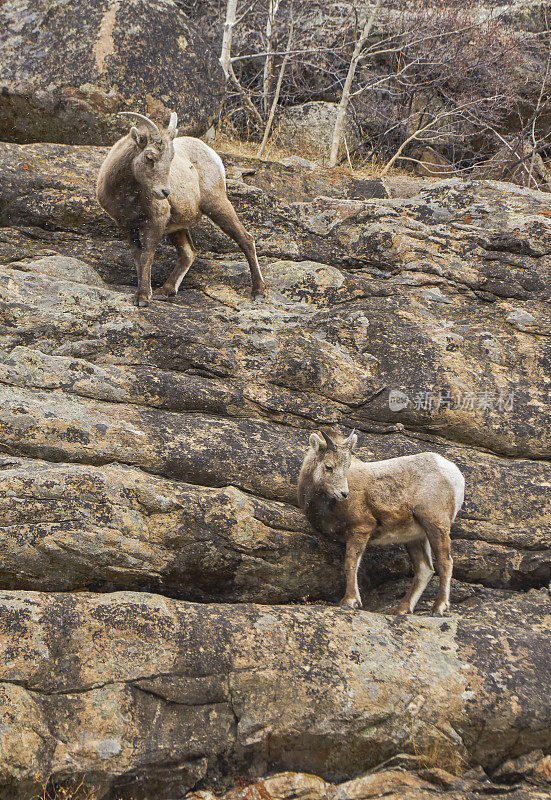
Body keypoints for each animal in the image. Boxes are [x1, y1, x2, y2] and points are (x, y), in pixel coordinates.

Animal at [95, 109, 268, 304]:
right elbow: (138, 256)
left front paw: (143, 296)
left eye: (171, 158)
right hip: (177, 226)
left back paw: (258, 291)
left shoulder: (155, 221)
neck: (126, 196)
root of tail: (213, 155)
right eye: (149, 156)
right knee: (188, 253)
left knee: (246, 239)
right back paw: (166, 290)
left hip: (217, 204)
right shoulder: (126, 225)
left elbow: (147, 255)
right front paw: (143, 293)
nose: (164, 192)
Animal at [298, 432, 466, 612]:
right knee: (425, 569)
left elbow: (351, 563)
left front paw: (350, 601)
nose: (344, 494)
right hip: (416, 537)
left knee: (445, 562)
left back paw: (439, 608)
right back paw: (402, 609)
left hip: (436, 525)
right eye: (329, 467)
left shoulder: (361, 529)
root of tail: (455, 475)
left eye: (347, 466)